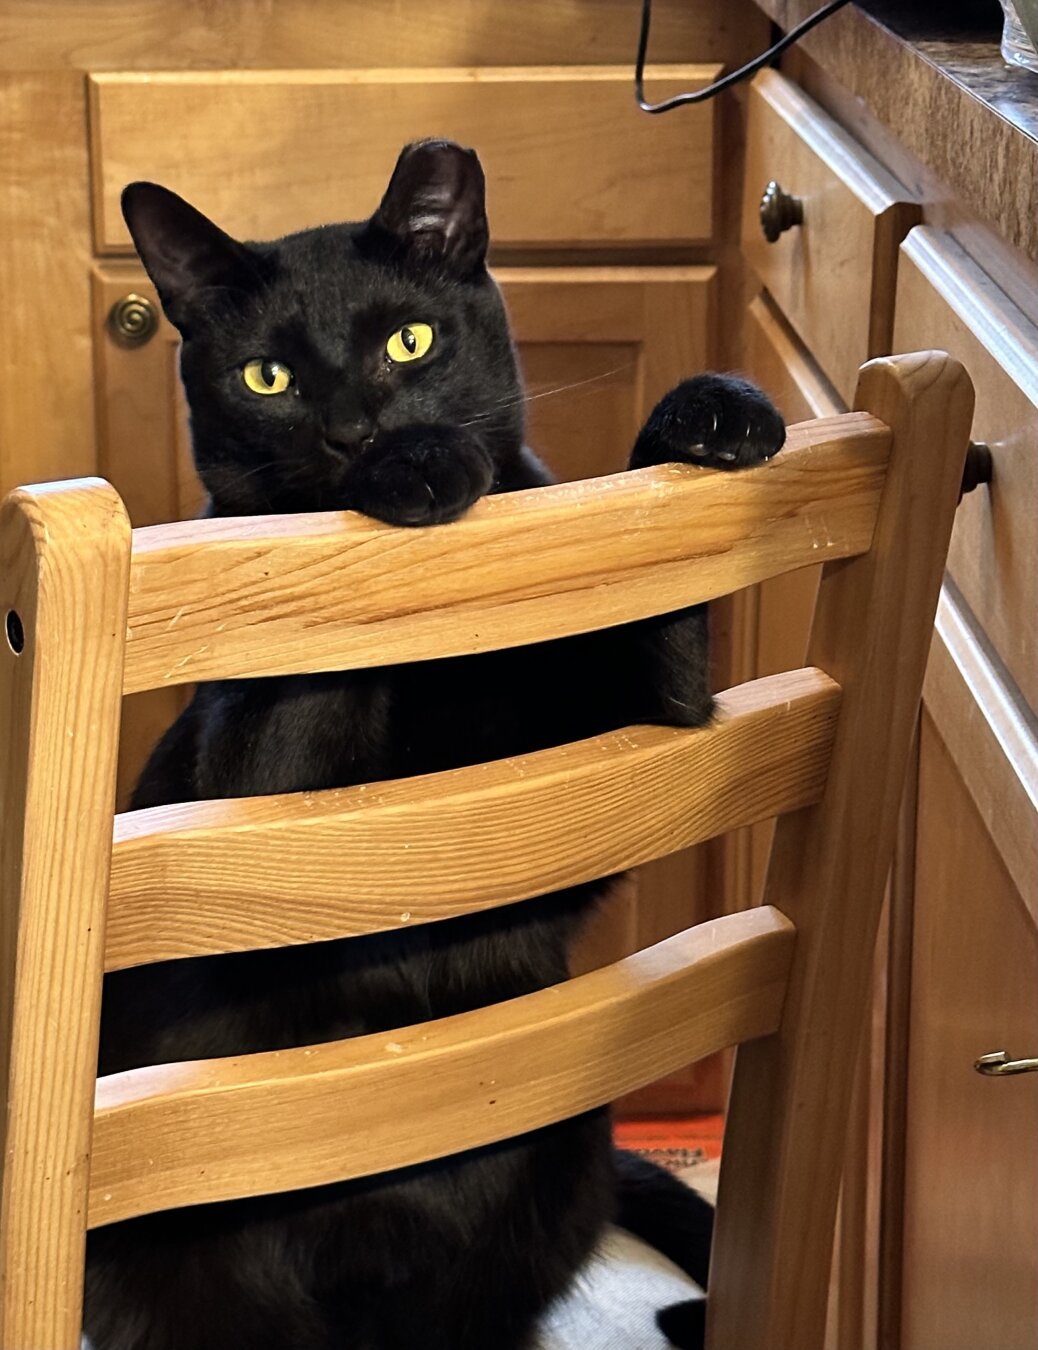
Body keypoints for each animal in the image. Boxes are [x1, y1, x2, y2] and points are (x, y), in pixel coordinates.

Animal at [85, 137, 782, 1350]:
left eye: (408, 341)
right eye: (267, 378)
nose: (357, 434)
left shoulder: (638, 734)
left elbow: (647, 562)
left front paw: (714, 410)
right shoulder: (258, 827)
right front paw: (413, 474)